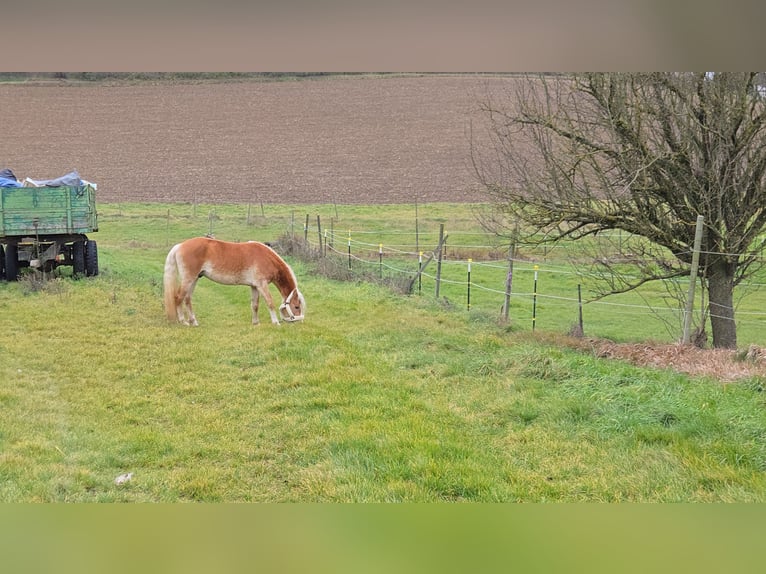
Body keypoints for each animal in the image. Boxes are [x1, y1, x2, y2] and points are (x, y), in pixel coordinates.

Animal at [164, 238, 306, 328]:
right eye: (296, 307)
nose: (299, 321)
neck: (266, 257)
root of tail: (180, 245)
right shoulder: (262, 285)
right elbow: (270, 302)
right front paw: (276, 322)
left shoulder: (254, 286)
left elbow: (255, 305)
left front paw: (256, 323)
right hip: (188, 279)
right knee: (178, 297)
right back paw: (183, 321)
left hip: (194, 279)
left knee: (187, 299)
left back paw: (194, 322)